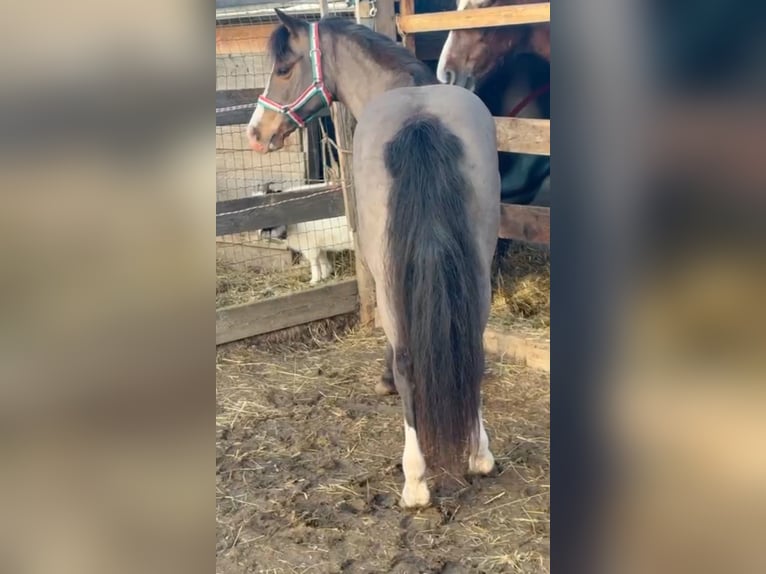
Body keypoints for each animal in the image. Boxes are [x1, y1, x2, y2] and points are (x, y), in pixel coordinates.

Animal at [247, 11, 499, 508]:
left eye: (284, 68)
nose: (256, 133)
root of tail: (420, 120)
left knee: (405, 359)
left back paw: (416, 481)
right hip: (478, 263)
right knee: (473, 346)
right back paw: (479, 455)